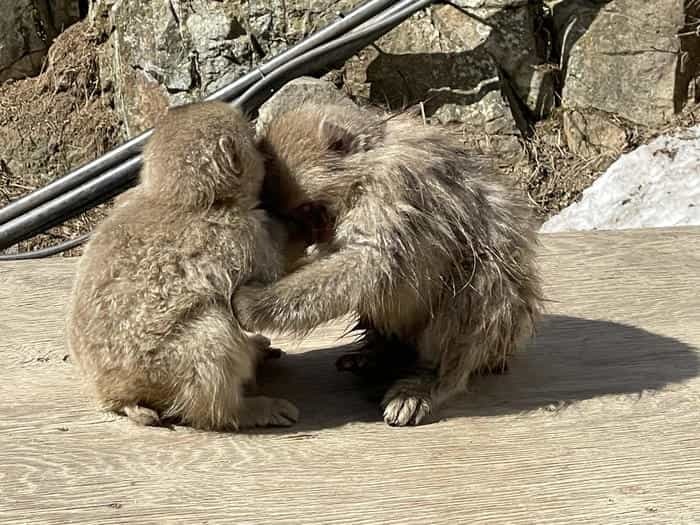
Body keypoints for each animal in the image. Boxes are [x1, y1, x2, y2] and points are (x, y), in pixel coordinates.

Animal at [66, 101, 304, 430]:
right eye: (251, 141)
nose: (263, 146)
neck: (180, 200)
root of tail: (115, 395)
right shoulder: (243, 236)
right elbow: (270, 278)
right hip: (167, 367)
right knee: (216, 333)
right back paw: (249, 409)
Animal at [238, 103, 544, 426]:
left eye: (306, 210)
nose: (311, 233)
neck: (366, 168)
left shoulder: (393, 188)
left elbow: (373, 264)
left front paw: (254, 304)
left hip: (499, 330)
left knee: (479, 281)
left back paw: (431, 379)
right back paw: (381, 353)